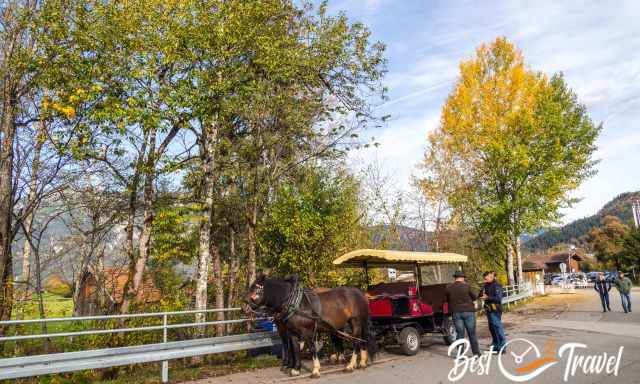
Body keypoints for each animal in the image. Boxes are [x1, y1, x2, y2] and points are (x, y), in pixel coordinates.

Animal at [246, 272, 376, 378]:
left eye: (256, 288)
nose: (245, 303)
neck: (295, 304)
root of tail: (362, 293)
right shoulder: (292, 332)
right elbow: (295, 349)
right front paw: (295, 369)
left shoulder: (307, 331)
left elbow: (312, 348)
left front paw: (315, 370)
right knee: (361, 339)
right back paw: (362, 362)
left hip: (356, 321)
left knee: (356, 341)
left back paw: (350, 365)